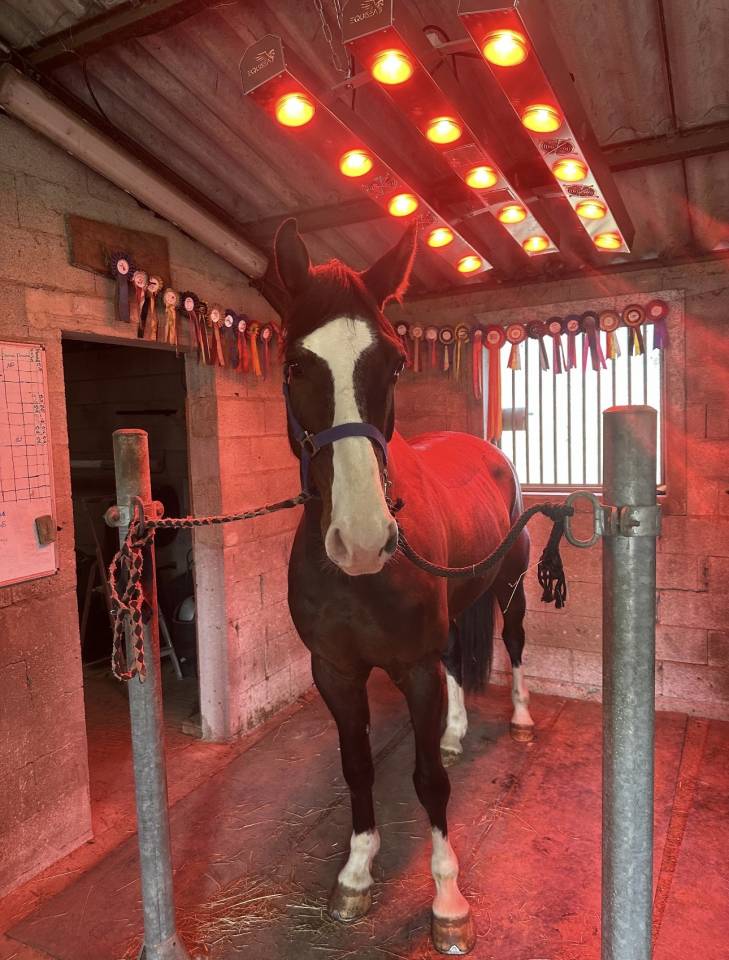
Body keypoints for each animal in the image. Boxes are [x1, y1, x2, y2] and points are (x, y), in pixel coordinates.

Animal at [276, 218, 534, 955]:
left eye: (392, 363)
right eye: (294, 364)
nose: (363, 539)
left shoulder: (412, 667)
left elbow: (428, 781)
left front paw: (447, 900)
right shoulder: (335, 671)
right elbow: (358, 766)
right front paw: (357, 874)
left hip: (510, 591)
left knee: (514, 645)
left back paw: (521, 718)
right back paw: (453, 727)